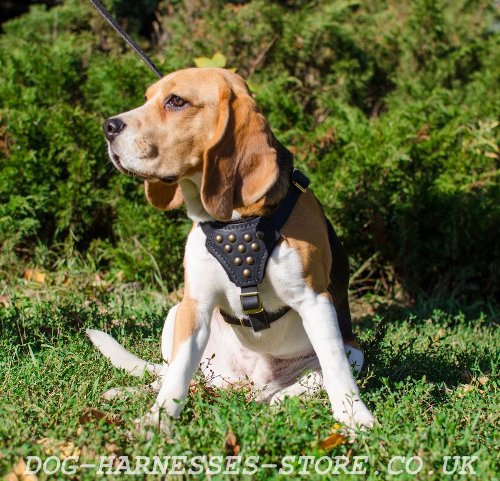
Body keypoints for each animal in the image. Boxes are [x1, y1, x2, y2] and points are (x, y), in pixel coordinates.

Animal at [87, 66, 376, 432]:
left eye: (176, 101)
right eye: (147, 98)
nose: (108, 126)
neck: (236, 222)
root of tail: (250, 383)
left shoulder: (315, 301)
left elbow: (334, 366)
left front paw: (355, 417)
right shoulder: (195, 305)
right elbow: (177, 375)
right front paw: (158, 420)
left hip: (356, 351)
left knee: (316, 377)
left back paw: (283, 398)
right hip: (175, 314)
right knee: (171, 375)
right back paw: (128, 392)